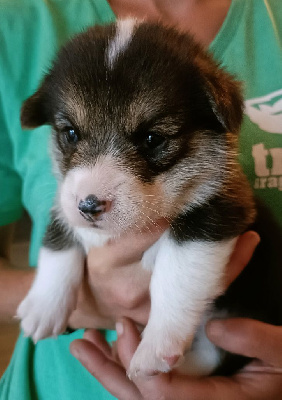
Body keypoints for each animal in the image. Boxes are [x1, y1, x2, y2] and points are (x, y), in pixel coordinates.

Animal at [17, 20, 282, 376]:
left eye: (152, 139)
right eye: (70, 133)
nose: (89, 206)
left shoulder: (217, 212)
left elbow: (174, 278)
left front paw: (156, 347)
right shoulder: (63, 199)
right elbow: (57, 243)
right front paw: (43, 305)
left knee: (214, 356)